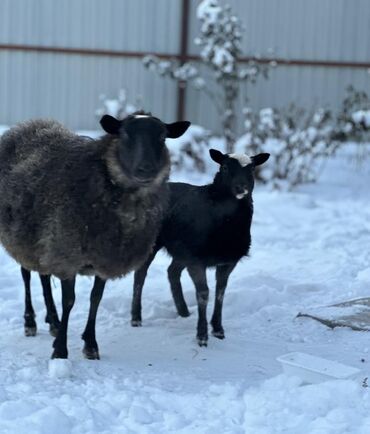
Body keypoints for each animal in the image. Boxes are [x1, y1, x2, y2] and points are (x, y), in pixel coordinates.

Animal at [0, 112, 191, 360]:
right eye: (124, 134)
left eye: (162, 137)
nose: (146, 170)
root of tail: (27, 125)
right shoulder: (67, 254)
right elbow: (69, 301)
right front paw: (60, 350)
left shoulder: (104, 258)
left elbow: (95, 298)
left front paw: (90, 344)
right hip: (24, 239)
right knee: (26, 275)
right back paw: (31, 322)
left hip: (45, 243)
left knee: (43, 277)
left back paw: (53, 322)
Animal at [130, 148, 268, 346]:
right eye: (225, 167)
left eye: (252, 169)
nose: (241, 188)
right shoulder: (196, 260)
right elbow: (203, 294)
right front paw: (202, 336)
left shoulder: (227, 261)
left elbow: (220, 292)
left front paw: (218, 329)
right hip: (154, 243)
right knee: (140, 274)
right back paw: (136, 318)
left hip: (181, 250)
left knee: (172, 271)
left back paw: (183, 312)